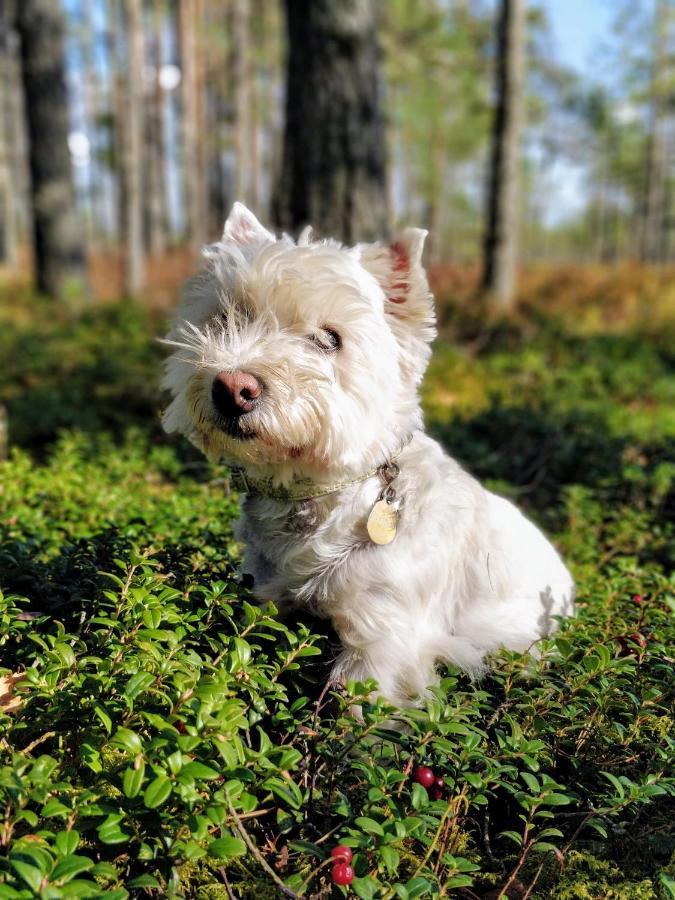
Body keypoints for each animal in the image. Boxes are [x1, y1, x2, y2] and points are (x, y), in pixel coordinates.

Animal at [164, 202, 576, 704]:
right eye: (226, 318)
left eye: (329, 338)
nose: (233, 388)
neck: (320, 495)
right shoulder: (267, 597)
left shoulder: (384, 637)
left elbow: (362, 702)